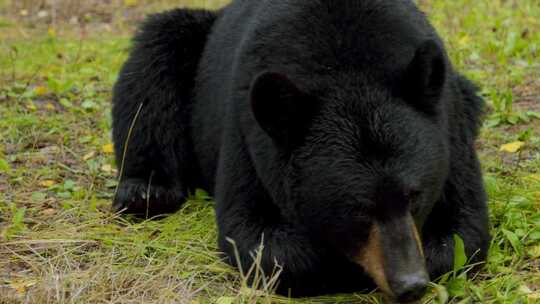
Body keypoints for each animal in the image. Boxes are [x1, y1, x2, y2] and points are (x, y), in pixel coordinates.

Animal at [109, 0, 490, 302]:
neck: (346, 68)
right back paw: (145, 190)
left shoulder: (450, 127)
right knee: (153, 61)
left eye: (415, 196)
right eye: (357, 209)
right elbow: (254, 236)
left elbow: (463, 231)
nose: (410, 283)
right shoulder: (249, 136)